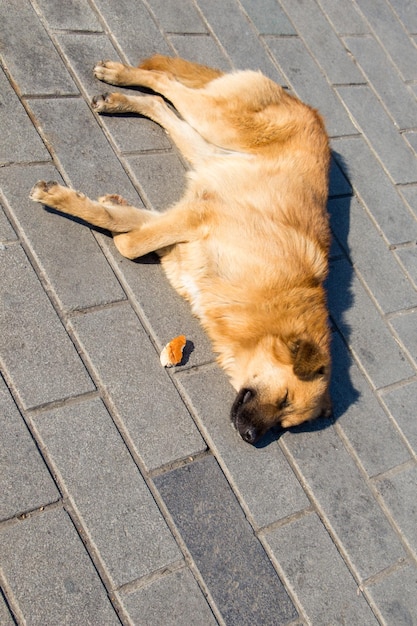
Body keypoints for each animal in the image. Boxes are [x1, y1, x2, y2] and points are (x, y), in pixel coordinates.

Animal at [30, 54, 332, 444]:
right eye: (284, 399)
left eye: (286, 424)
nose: (252, 437)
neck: (270, 306)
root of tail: (309, 109)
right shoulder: (200, 214)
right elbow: (130, 243)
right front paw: (67, 200)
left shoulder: (191, 214)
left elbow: (130, 223)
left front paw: (107, 204)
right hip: (216, 123)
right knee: (166, 82)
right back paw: (121, 75)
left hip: (207, 149)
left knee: (163, 105)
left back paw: (118, 100)